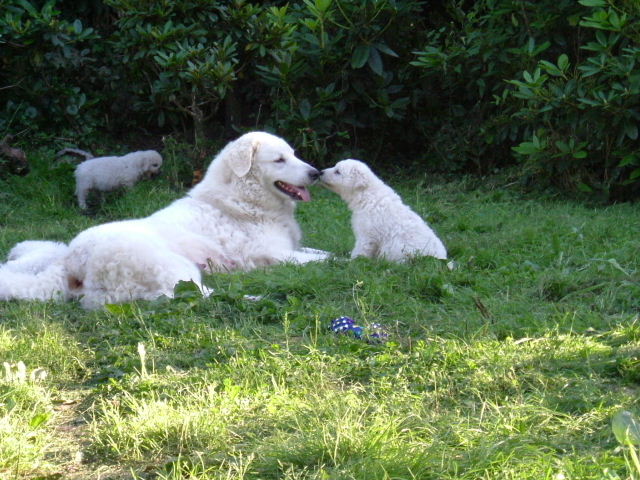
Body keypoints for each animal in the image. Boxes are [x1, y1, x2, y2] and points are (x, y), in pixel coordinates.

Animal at [0, 131, 330, 308]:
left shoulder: (293, 248)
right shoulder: (274, 254)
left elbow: (324, 252)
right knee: (197, 296)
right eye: (279, 160)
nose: (316, 173)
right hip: (176, 267)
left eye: (294, 154)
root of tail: (71, 259)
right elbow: (328, 259)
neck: (243, 199)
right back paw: (257, 297)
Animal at [318, 159, 448, 260]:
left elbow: (361, 248)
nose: (320, 172)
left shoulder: (367, 234)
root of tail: (443, 259)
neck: (366, 194)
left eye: (337, 171)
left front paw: (354, 260)